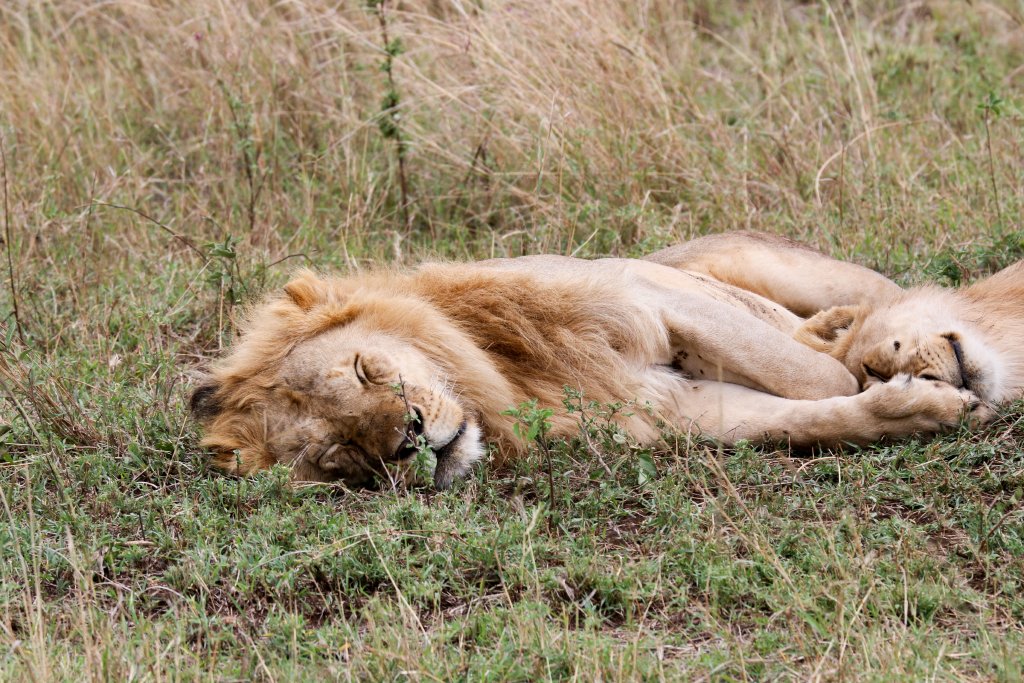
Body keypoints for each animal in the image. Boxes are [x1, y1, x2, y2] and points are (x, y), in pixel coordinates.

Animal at [191, 232, 985, 489]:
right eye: (341, 454)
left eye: (364, 368)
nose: (412, 436)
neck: (506, 379)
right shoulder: (673, 408)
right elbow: (816, 413)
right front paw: (917, 408)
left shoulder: (644, 292)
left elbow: (816, 372)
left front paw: (878, 364)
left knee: (892, 298)